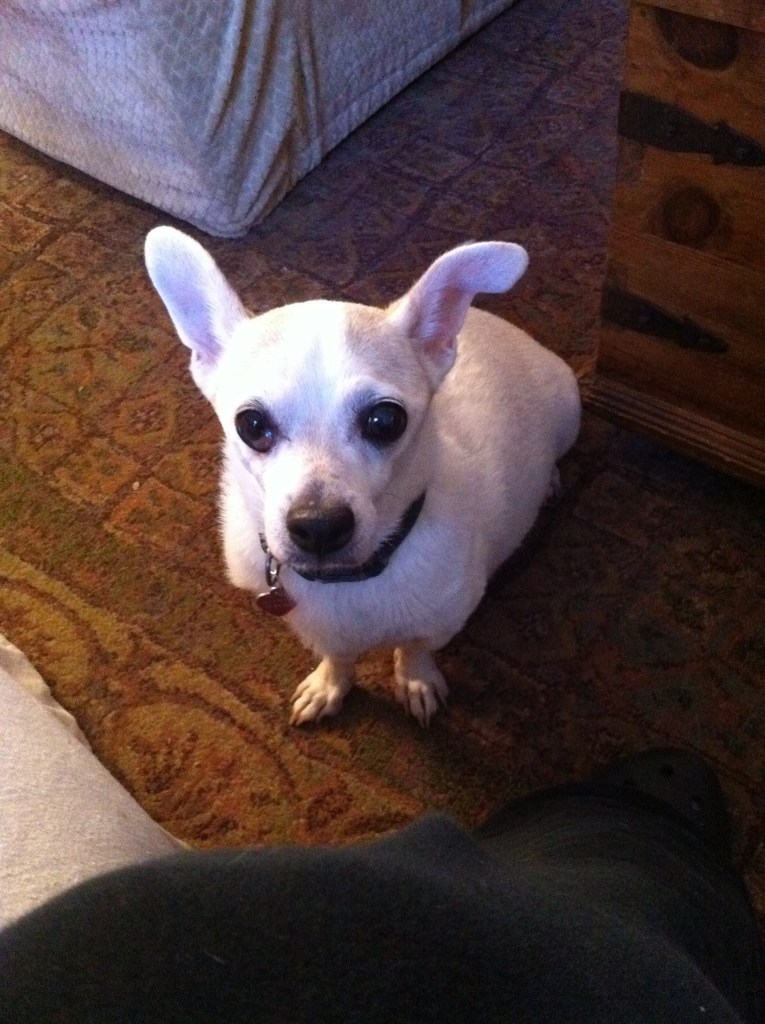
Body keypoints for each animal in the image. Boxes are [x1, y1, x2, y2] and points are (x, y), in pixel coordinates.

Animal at [145, 227, 581, 726]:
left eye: (385, 420)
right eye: (251, 425)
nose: (319, 526)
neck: (346, 582)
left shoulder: (444, 620)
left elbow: (414, 648)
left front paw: (415, 680)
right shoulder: (324, 634)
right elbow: (339, 656)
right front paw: (330, 686)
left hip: (569, 408)